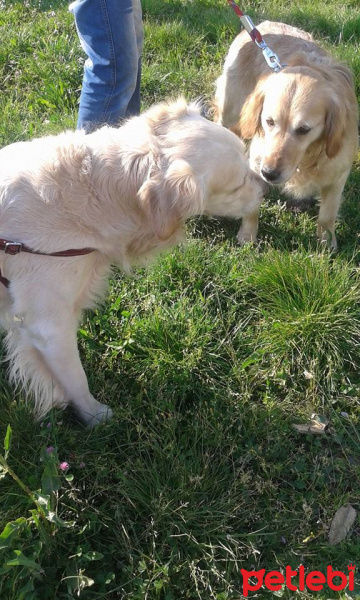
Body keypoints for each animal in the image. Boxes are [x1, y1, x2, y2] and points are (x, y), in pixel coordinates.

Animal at [214, 21, 358, 246]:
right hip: (229, 111)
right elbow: (252, 205)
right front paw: (248, 235)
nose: (269, 173)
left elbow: (327, 215)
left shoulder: (338, 173)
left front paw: (327, 244)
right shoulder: (257, 160)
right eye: (269, 121)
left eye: (304, 130)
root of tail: (262, 25)